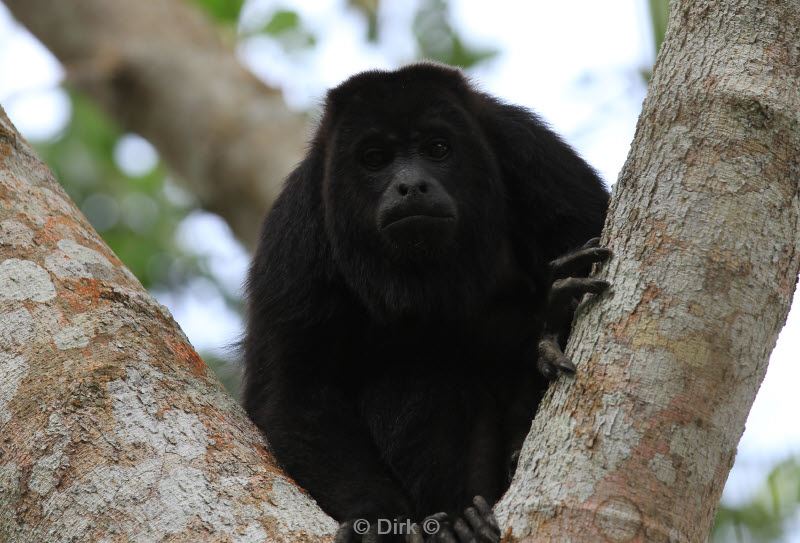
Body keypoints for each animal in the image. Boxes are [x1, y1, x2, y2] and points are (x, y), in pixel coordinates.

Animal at [244, 61, 612, 540]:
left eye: (438, 148)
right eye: (374, 158)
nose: (411, 185)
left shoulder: (535, 156)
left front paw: (553, 320)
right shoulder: (294, 236)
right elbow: (295, 396)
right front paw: (374, 518)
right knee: (418, 377)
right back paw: (460, 521)